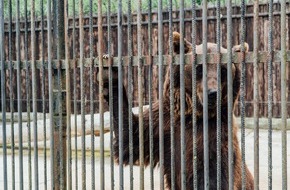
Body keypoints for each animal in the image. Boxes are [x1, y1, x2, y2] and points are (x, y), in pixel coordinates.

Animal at [99, 31, 254, 189]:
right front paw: (109, 73)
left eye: (223, 70)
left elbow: (214, 174)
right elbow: (132, 138)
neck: (194, 115)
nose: (213, 93)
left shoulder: (217, 136)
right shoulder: (164, 122)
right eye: (199, 68)